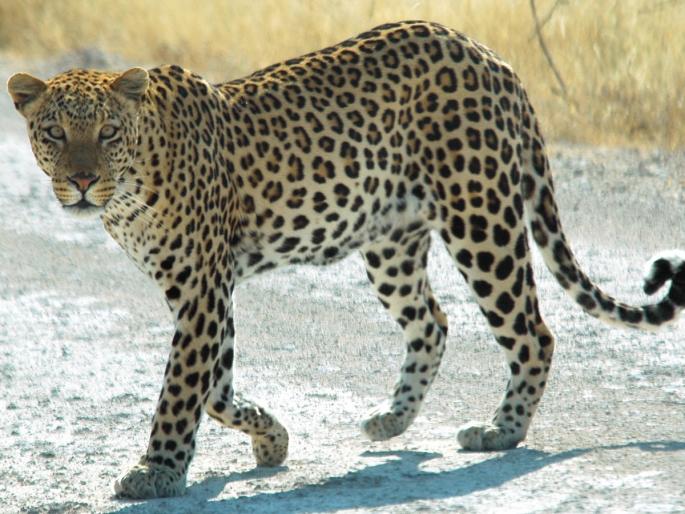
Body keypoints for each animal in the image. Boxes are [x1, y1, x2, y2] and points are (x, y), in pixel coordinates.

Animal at [7, 20, 684, 499]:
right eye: (55, 134)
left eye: (107, 133)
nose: (82, 182)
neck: (131, 186)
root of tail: (490, 55)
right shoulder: (202, 290)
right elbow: (214, 386)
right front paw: (272, 440)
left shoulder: (201, 289)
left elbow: (181, 390)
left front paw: (157, 472)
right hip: (390, 242)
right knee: (433, 321)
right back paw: (392, 420)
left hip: (480, 218)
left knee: (532, 330)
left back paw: (501, 431)